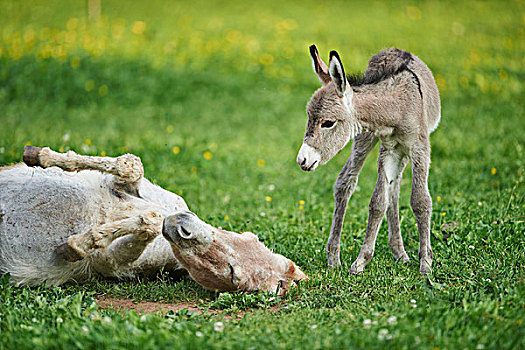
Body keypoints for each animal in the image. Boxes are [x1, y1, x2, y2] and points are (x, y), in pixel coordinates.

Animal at [296, 45, 440, 274]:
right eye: (309, 118)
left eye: (327, 123)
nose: (302, 159)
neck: (396, 106)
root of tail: (393, 48)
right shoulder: (390, 149)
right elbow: (378, 202)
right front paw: (361, 261)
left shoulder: (419, 148)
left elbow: (420, 201)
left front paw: (425, 264)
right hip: (366, 138)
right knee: (347, 183)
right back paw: (336, 258)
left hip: (400, 150)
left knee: (395, 189)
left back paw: (400, 253)